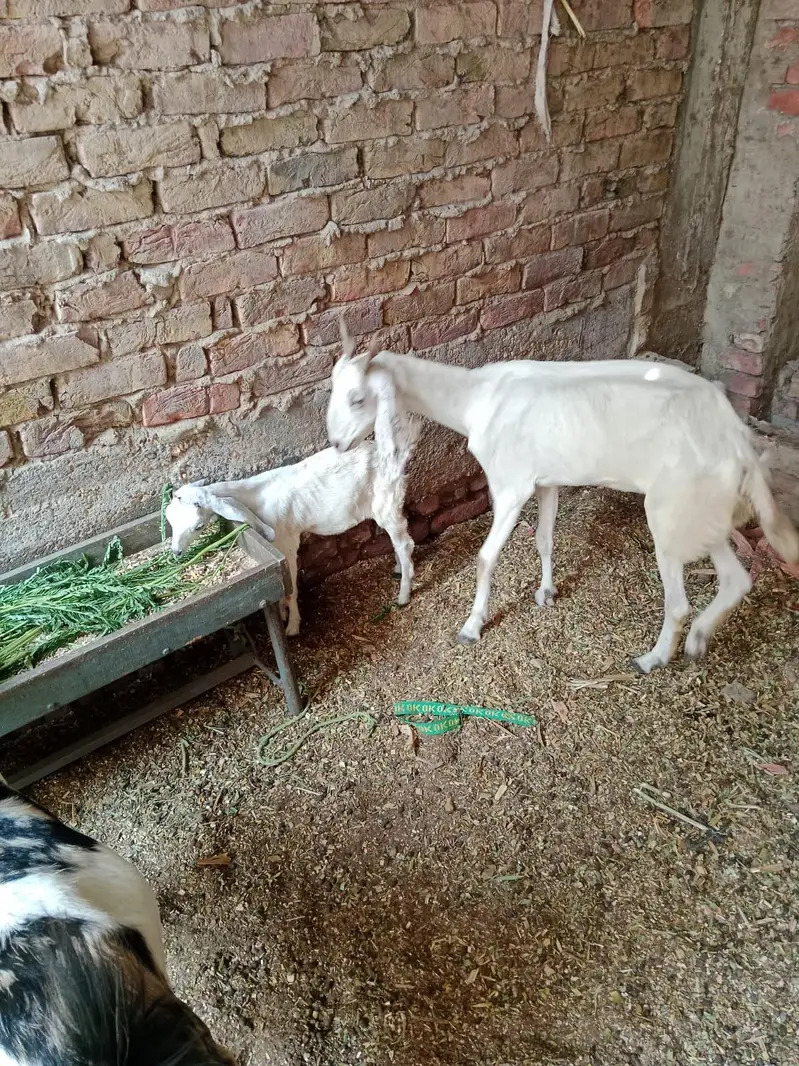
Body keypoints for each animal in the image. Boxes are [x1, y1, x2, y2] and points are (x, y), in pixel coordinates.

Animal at [165, 378, 416, 637]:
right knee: (398, 541)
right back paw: (399, 570)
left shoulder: (286, 542)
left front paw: (293, 626)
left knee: (405, 543)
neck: (255, 497)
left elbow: (291, 588)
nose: (176, 552)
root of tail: (394, 454)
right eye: (169, 518)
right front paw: (284, 613)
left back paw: (403, 595)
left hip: (387, 503)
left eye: (198, 526)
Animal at [325, 336, 799, 673]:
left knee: (680, 599)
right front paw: (547, 592)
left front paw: (472, 626)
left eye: (358, 398)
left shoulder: (511, 485)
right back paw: (699, 639)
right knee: (736, 578)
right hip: (701, 506)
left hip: (670, 508)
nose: (336, 443)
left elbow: (486, 557)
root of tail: (736, 437)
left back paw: (653, 658)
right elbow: (545, 538)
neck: (478, 398)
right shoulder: (546, 480)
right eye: (333, 391)